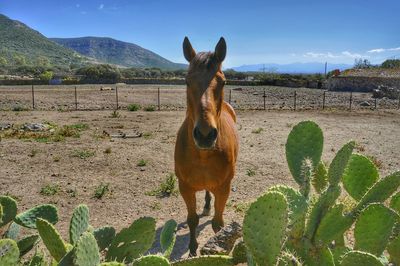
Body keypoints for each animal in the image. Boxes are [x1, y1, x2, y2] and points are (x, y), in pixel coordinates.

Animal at [174, 35, 238, 256]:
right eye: (186, 81)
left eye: (223, 82)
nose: (205, 134)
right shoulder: (185, 187)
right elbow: (192, 220)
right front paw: (193, 250)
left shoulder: (224, 188)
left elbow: (218, 224)